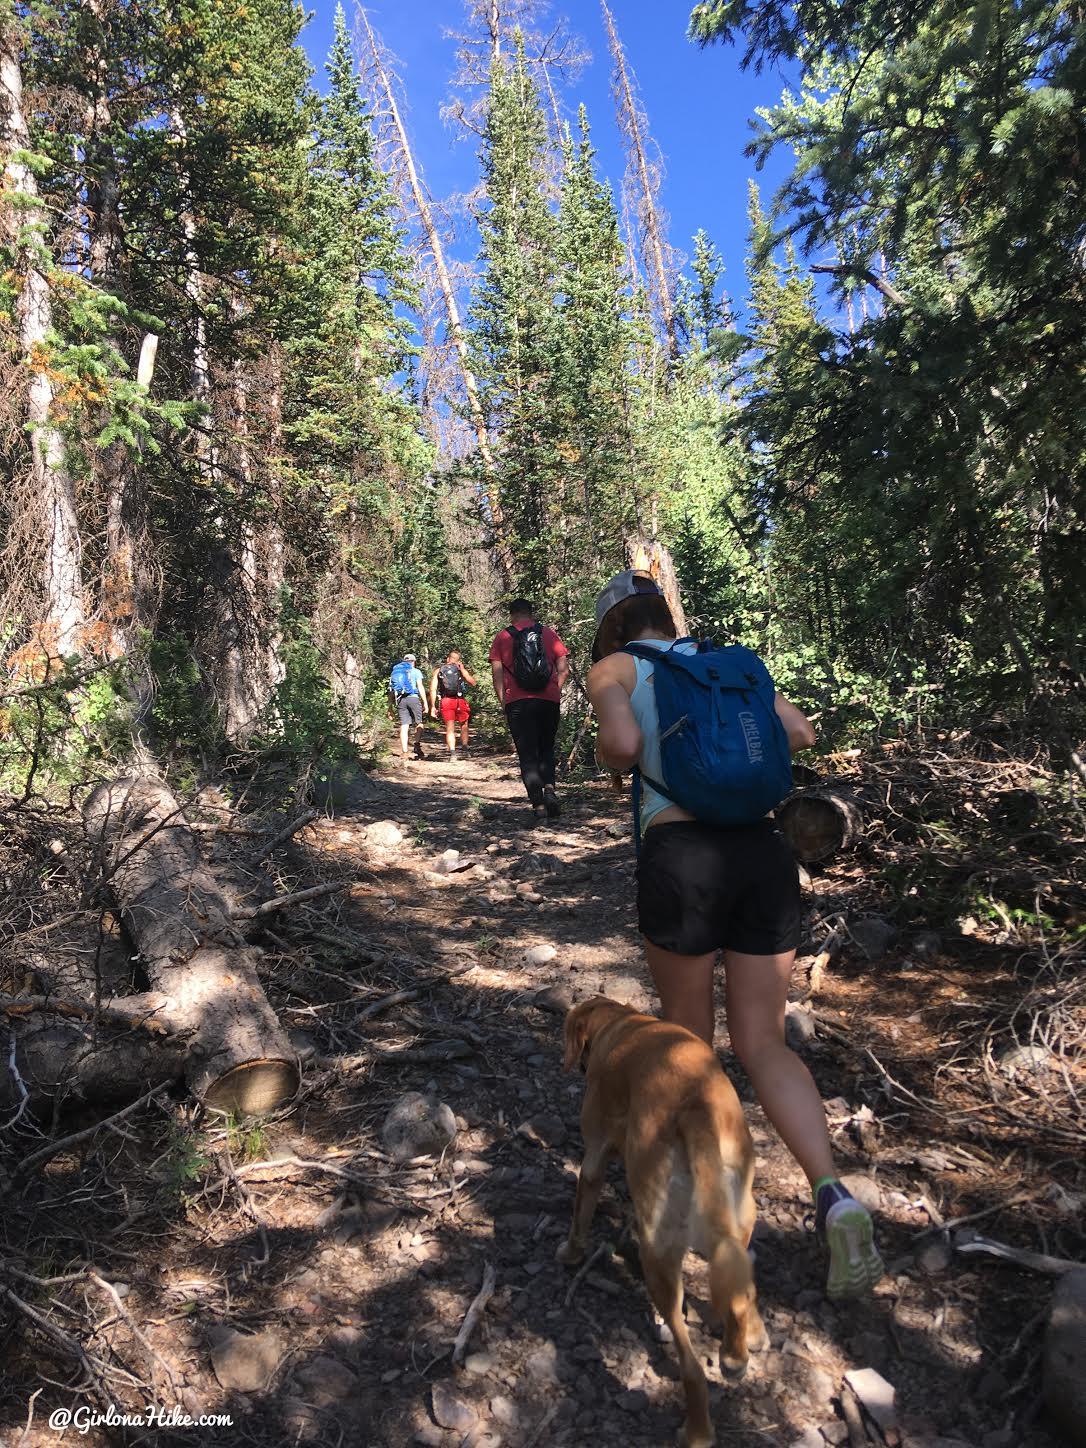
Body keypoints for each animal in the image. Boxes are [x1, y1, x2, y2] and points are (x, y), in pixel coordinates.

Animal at [561, 996, 764, 1448]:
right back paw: (738, 1351)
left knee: (692, 1368)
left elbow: (581, 1213)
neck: (621, 1023)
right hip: (739, 1220)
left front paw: (570, 1253)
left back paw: (697, 1430)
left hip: (657, 1253)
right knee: (741, 1292)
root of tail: (696, 1112)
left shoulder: (594, 1158)